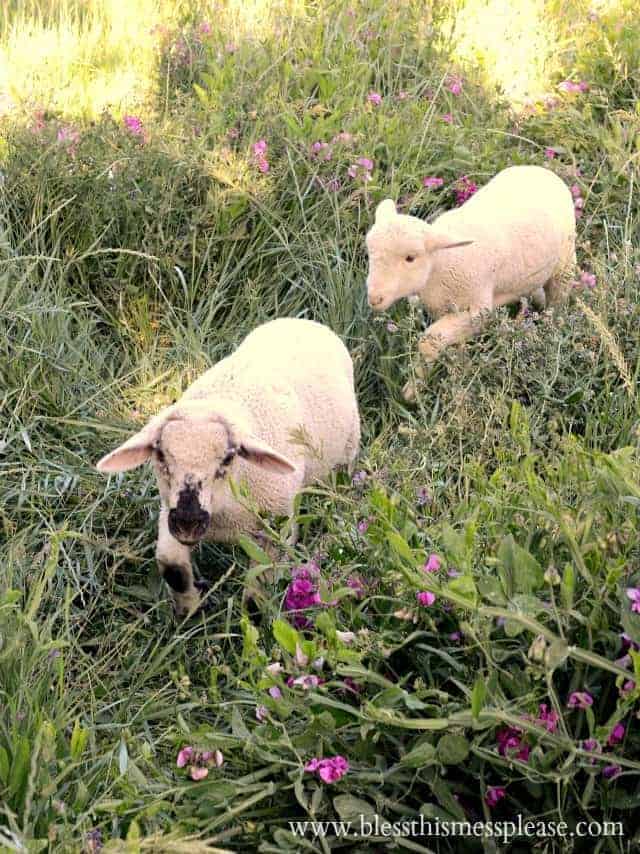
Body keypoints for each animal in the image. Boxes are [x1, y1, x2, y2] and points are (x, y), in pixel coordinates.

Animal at [96, 318, 361, 615]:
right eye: (161, 455)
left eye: (227, 458)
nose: (188, 521)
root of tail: (303, 321)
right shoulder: (169, 512)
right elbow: (172, 566)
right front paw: (189, 610)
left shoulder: (275, 532)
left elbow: (257, 596)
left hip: (347, 453)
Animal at [365, 165, 576, 397]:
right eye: (370, 252)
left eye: (410, 258)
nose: (374, 298)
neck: (441, 263)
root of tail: (541, 170)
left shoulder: (478, 310)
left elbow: (428, 342)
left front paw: (413, 390)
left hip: (565, 263)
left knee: (558, 301)